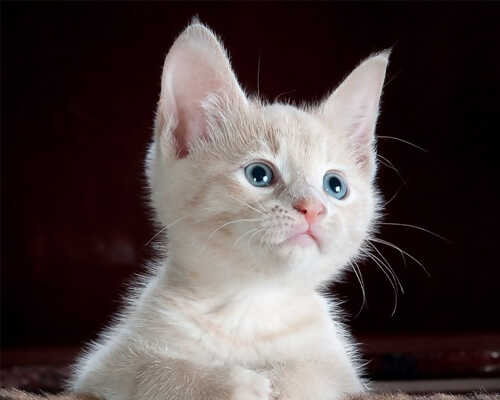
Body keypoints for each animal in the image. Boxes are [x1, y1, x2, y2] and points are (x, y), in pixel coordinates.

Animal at [68, 21, 388, 400]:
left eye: (335, 186)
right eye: (259, 175)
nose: (312, 208)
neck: (251, 304)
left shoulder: (342, 372)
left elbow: (315, 374)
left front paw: (282, 382)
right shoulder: (102, 371)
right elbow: (152, 372)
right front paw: (231, 383)